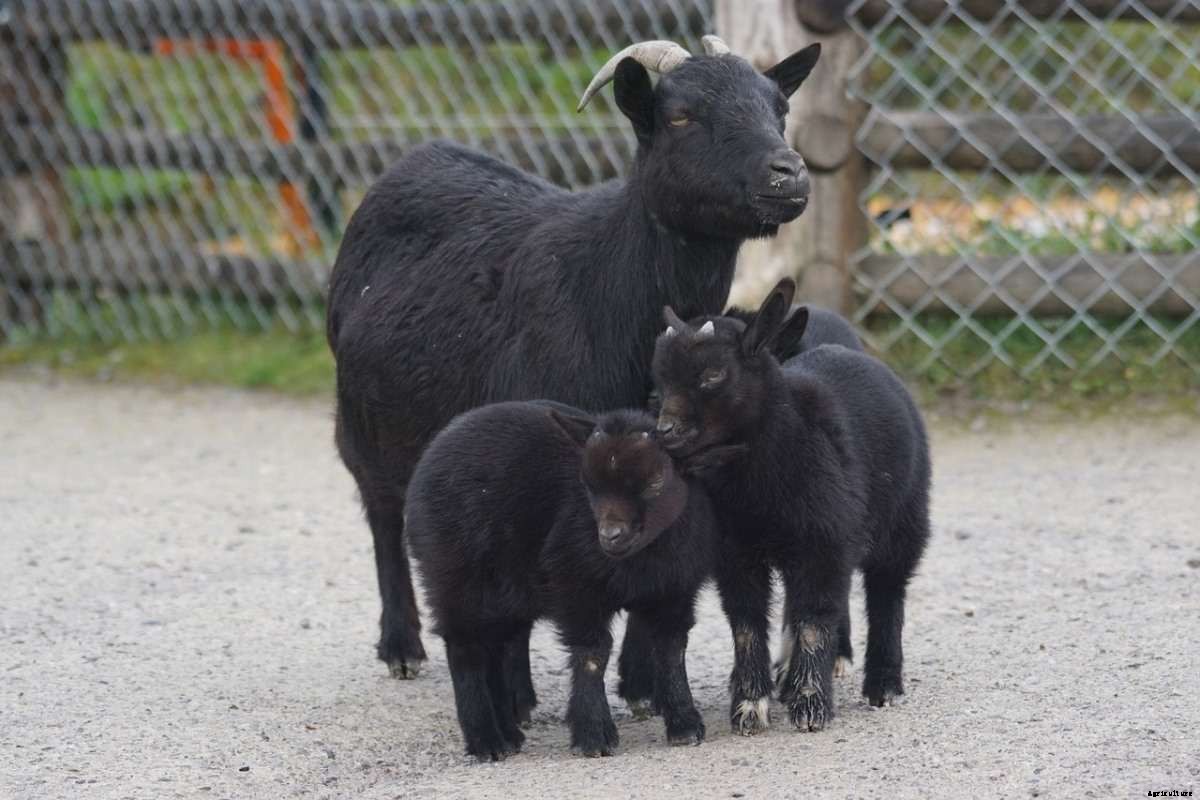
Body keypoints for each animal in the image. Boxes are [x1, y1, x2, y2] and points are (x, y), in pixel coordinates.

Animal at [325, 36, 822, 682]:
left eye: (779, 108)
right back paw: (402, 645)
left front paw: (641, 677)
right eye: (680, 116)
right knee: (384, 516)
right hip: (362, 423)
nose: (789, 174)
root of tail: (410, 161)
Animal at [405, 402, 724, 760]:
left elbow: (671, 650)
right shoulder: (575, 589)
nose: (611, 536)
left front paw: (685, 724)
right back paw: (486, 741)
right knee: (465, 648)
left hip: (505, 594)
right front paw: (593, 736)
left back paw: (508, 735)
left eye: (655, 480)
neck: (641, 560)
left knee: (495, 647)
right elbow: (593, 653)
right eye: (589, 485)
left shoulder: (676, 591)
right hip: (454, 575)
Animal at [650, 279, 931, 734]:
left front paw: (811, 705)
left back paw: (883, 683)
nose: (666, 432)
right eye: (660, 380)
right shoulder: (737, 553)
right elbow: (746, 624)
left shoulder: (823, 542)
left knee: (887, 591)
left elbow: (814, 619)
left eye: (713, 375)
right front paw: (750, 705)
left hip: (904, 518)